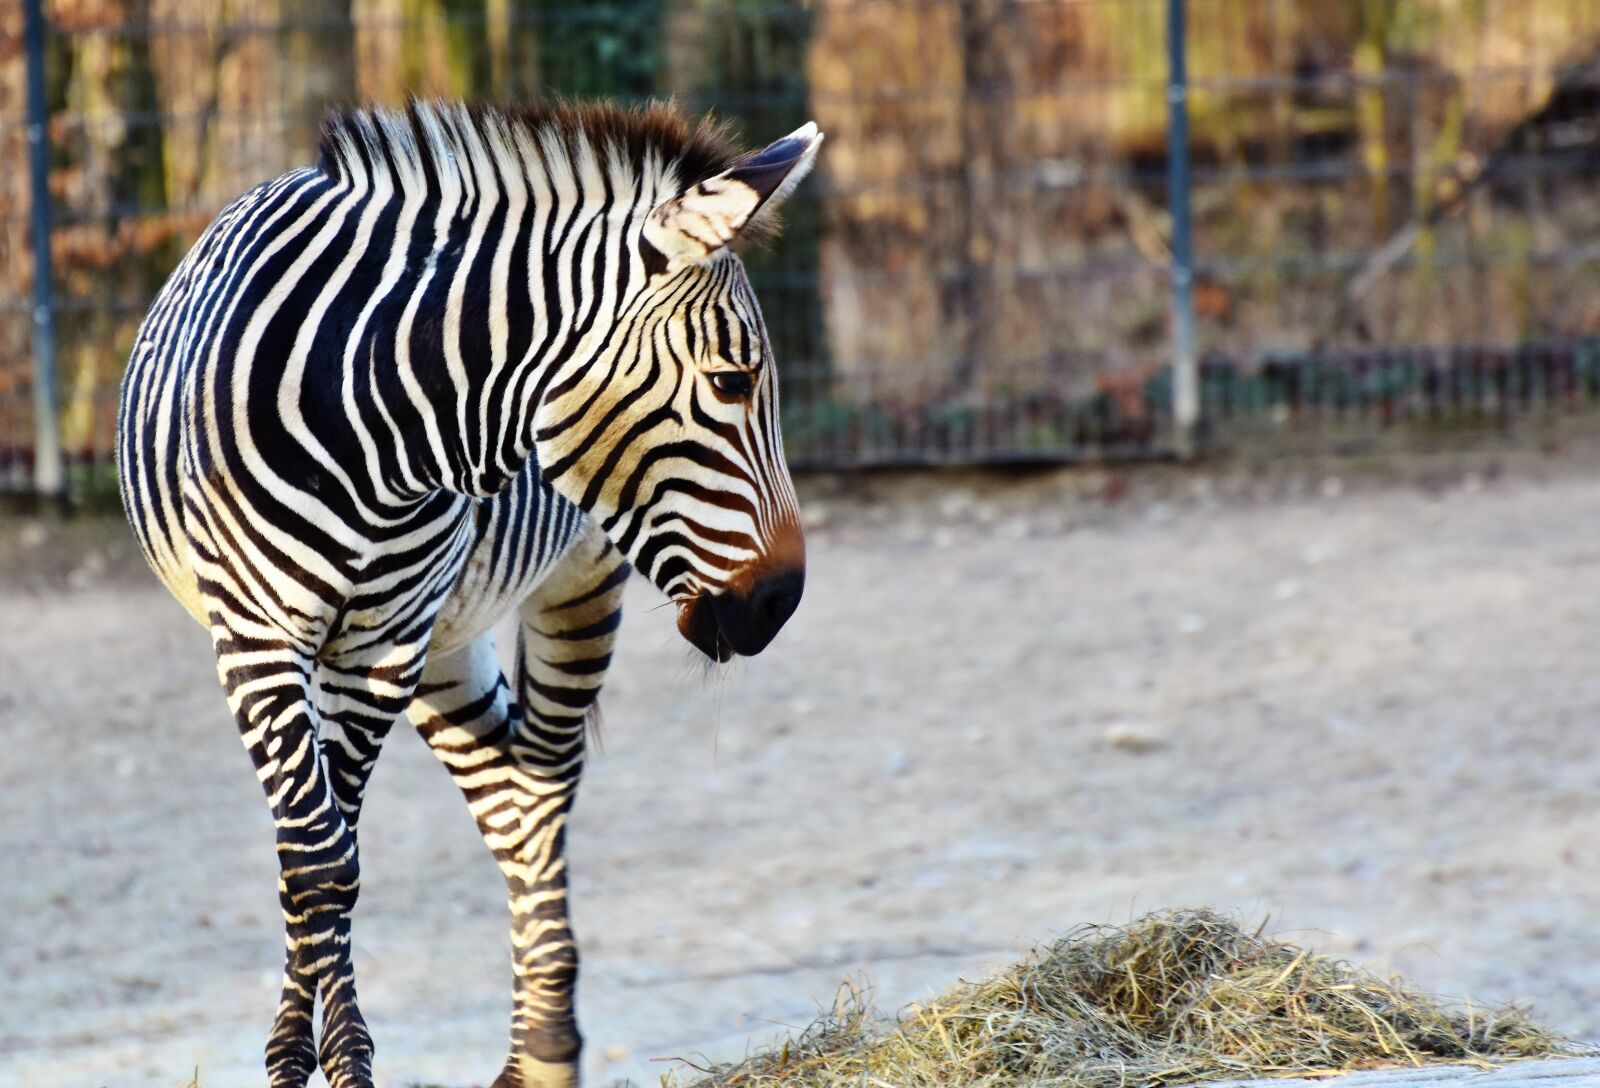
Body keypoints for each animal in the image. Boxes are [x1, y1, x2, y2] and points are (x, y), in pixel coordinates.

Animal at [116, 99, 821, 1088]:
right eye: (732, 381)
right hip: (445, 644)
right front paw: (304, 1059)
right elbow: (316, 855)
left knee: (542, 799)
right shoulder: (258, 638)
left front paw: (343, 1061)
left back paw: (546, 1050)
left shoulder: (379, 645)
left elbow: (337, 851)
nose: (779, 602)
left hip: (564, 590)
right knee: (505, 797)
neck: (374, 417)